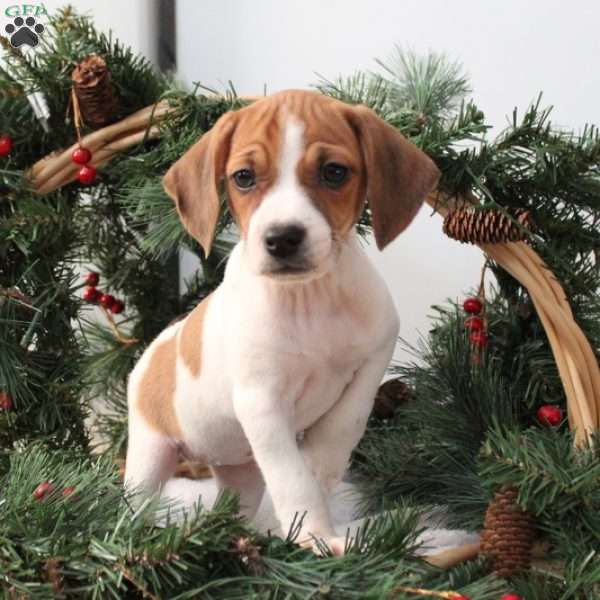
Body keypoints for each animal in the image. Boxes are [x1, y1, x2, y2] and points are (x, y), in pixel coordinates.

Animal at [124, 89, 438, 552]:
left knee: (230, 507)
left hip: (240, 472)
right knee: (130, 507)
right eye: (243, 177)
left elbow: (336, 437)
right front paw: (315, 535)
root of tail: (152, 348)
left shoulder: (371, 366)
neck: (308, 300)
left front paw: (310, 500)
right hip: (149, 454)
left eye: (333, 172)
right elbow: (292, 477)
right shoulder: (263, 403)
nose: (282, 238)